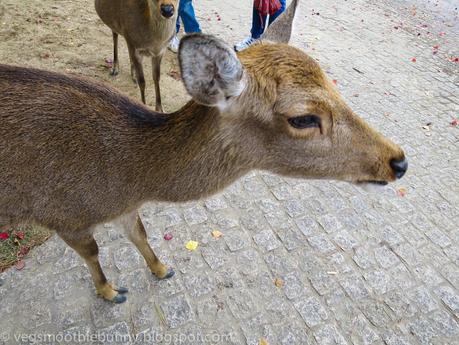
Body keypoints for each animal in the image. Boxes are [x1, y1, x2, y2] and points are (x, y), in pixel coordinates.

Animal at [0, 0, 406, 300]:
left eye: (334, 86)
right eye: (304, 118)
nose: (397, 161)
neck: (125, 178)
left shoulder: (123, 208)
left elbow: (139, 233)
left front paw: (162, 269)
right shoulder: (62, 215)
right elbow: (94, 252)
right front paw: (110, 291)